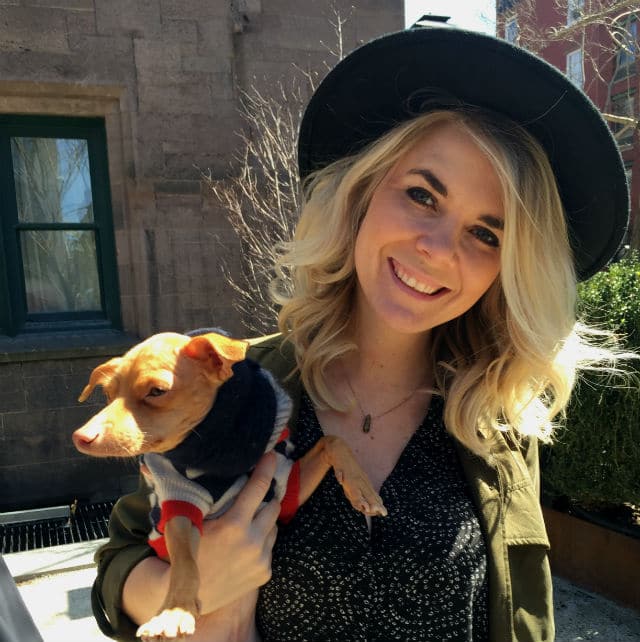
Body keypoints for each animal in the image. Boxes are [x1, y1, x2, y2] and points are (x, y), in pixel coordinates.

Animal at [73, 332, 388, 636]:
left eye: (157, 391)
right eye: (108, 394)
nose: (81, 436)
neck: (220, 447)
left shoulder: (286, 485)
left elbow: (333, 441)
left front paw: (363, 490)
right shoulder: (180, 500)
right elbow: (185, 563)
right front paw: (174, 611)